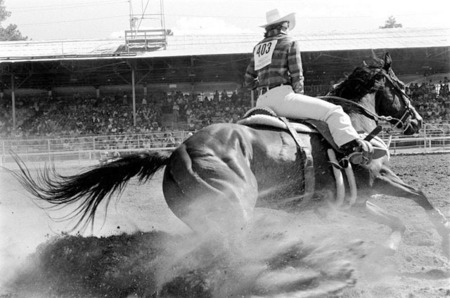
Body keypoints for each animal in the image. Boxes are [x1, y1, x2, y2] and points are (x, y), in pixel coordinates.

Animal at [12, 51, 448, 258]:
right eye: (403, 88)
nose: (418, 122)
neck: (351, 122)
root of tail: (176, 154)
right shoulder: (376, 179)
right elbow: (422, 198)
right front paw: (443, 241)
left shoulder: (353, 201)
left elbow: (398, 220)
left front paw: (390, 248)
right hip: (234, 206)